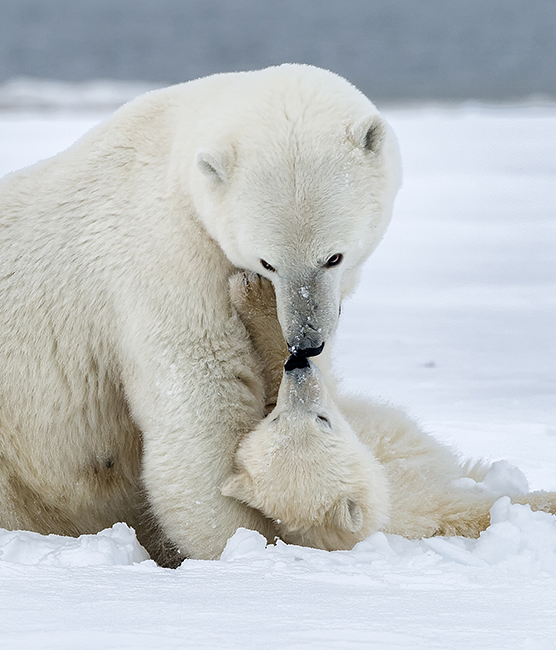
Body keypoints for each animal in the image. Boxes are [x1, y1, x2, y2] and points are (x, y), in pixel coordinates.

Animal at [0, 64, 400, 560]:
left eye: (334, 257)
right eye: (268, 262)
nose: (305, 343)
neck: (174, 159)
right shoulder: (168, 262)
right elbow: (201, 409)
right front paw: (245, 543)